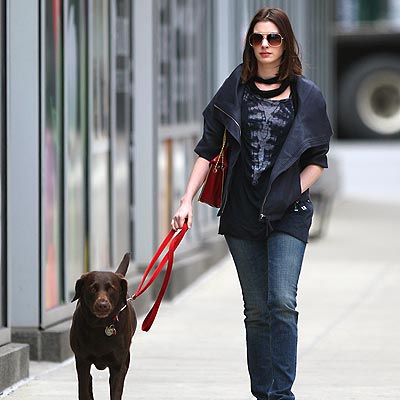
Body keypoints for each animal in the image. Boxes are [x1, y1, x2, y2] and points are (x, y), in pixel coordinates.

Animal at [69, 255, 137, 398]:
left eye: (111, 288)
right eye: (92, 288)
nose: (102, 305)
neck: (100, 325)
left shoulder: (118, 365)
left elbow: (116, 392)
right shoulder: (82, 361)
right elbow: (84, 391)